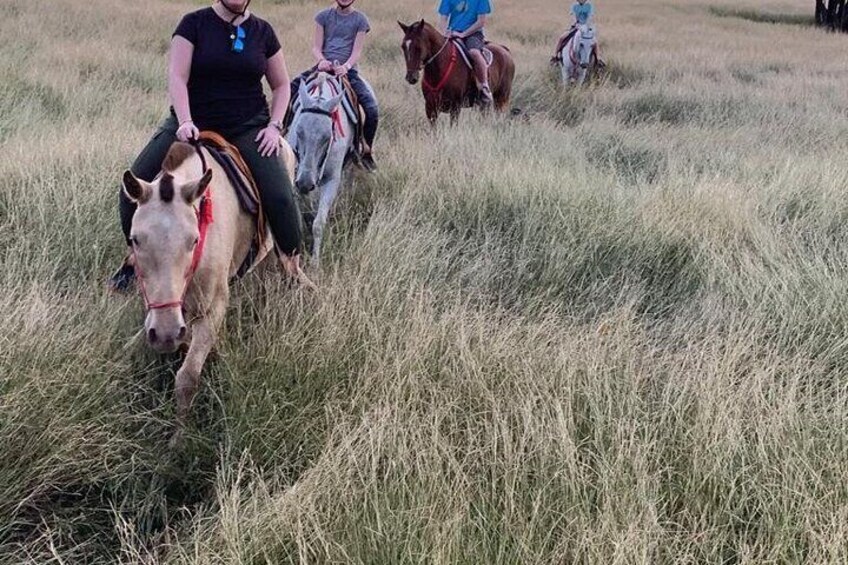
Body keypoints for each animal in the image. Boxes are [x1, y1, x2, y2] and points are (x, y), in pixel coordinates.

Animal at [122, 139, 298, 438]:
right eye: (135, 240)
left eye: (194, 240)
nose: (167, 334)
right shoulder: (160, 310)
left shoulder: (211, 311)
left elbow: (187, 377)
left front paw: (179, 440)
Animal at [284, 74, 352, 268]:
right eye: (298, 131)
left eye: (327, 137)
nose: (305, 183)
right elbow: (301, 219)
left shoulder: (332, 181)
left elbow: (318, 223)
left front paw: (315, 263)